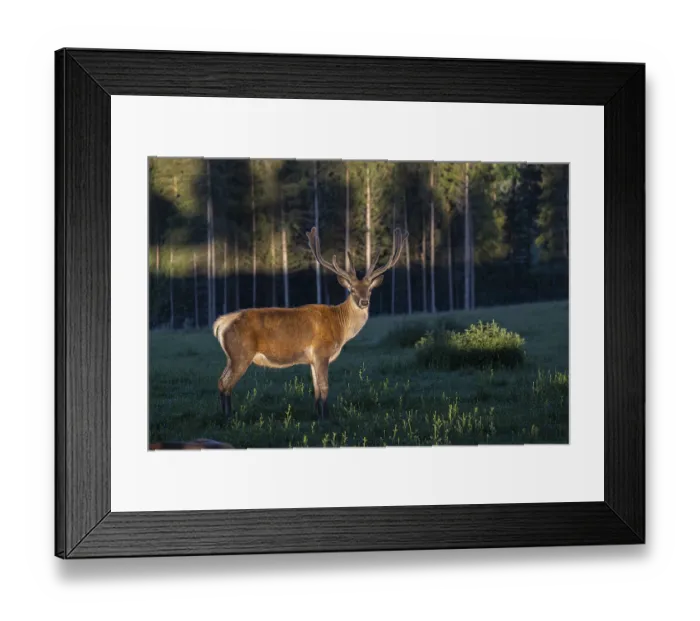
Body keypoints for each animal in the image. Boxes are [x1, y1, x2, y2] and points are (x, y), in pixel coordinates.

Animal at [213, 226, 408, 421]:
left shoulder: (312, 359)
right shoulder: (322, 351)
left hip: (231, 356)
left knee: (220, 381)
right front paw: (326, 417)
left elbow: (316, 390)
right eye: (352, 290)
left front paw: (317, 414)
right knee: (225, 383)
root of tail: (221, 323)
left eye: (369, 290)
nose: (364, 302)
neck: (340, 326)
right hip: (241, 353)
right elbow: (325, 387)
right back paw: (228, 416)